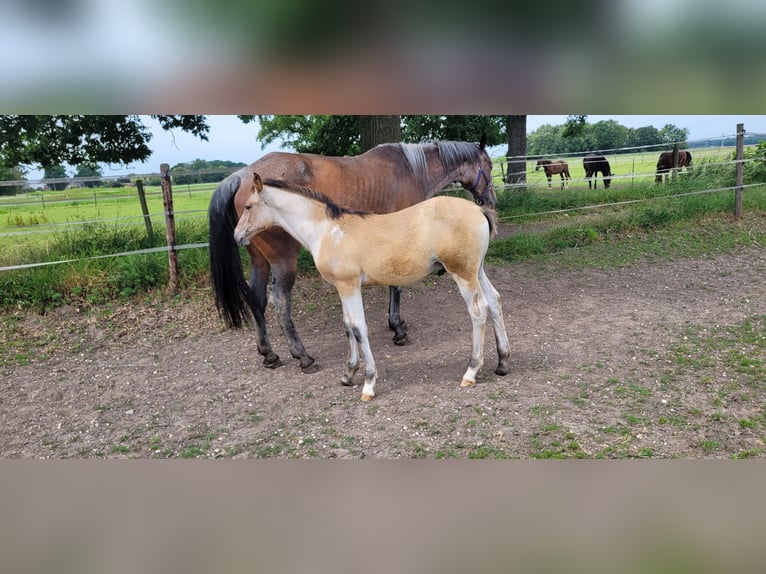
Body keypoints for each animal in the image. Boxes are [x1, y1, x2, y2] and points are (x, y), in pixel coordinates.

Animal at [208, 138, 496, 374]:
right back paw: (303, 356)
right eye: (490, 166)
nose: (491, 200)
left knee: (257, 298)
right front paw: (398, 329)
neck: (410, 170)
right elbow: (396, 286)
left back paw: (269, 353)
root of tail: (242, 174)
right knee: (280, 299)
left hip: (259, 259)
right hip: (283, 260)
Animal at [232, 173, 511, 401]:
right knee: (495, 301)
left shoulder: (350, 285)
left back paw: (471, 371)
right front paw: (348, 374)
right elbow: (348, 326)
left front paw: (368, 383)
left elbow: (358, 328)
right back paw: (503, 362)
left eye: (248, 206)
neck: (326, 231)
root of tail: (479, 210)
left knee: (478, 311)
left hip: (462, 273)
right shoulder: (342, 288)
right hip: (477, 270)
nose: (237, 236)